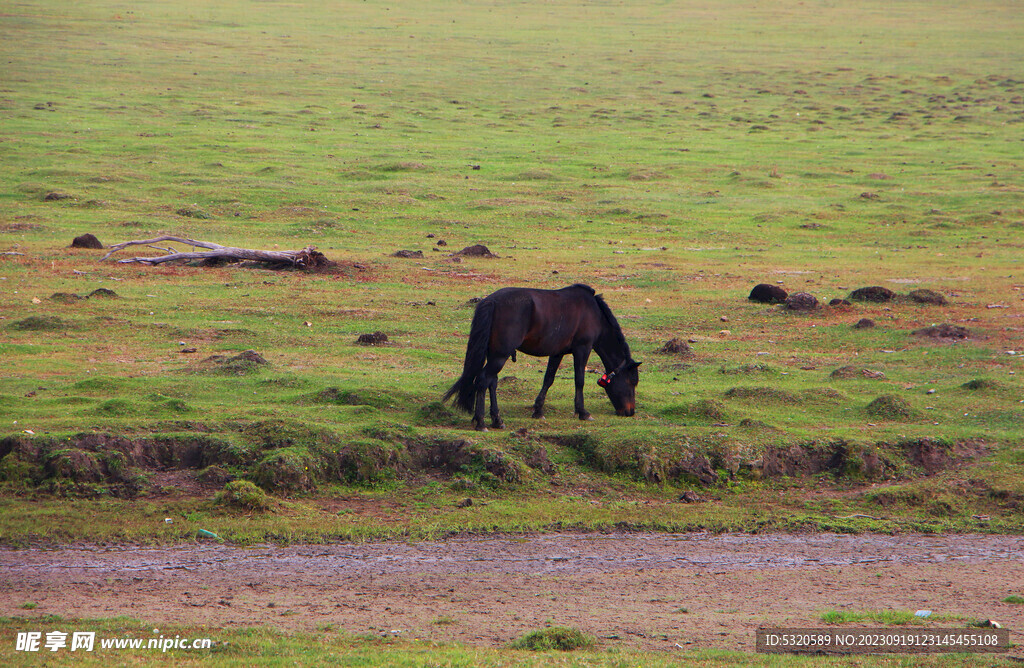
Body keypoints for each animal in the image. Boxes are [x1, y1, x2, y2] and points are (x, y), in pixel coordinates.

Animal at [442, 282, 638, 430]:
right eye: (632, 382)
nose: (630, 412)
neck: (593, 312)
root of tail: (492, 301)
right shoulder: (583, 348)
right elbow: (579, 380)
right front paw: (582, 412)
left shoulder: (558, 353)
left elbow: (548, 379)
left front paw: (538, 410)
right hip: (500, 355)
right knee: (483, 380)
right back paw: (481, 422)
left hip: (495, 355)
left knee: (492, 382)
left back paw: (497, 420)